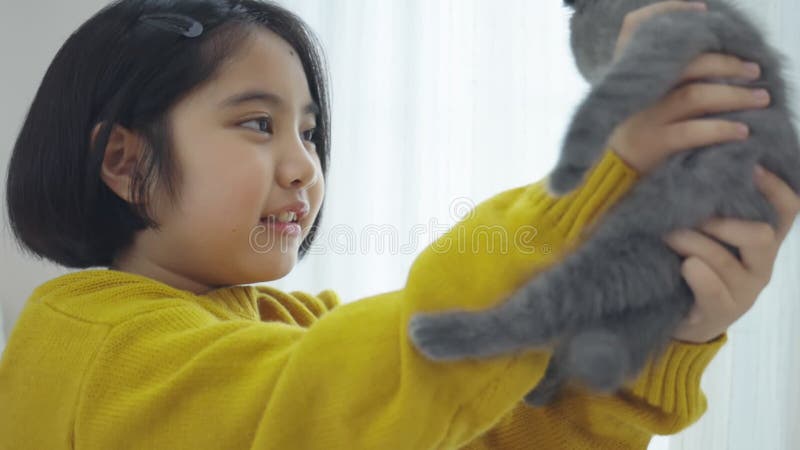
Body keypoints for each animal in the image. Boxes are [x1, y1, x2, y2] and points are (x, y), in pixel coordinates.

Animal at [410, 0, 796, 408]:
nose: (585, 70)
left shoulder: (669, 33)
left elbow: (602, 102)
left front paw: (567, 172)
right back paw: (542, 388)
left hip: (631, 242)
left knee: (543, 313)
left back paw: (443, 334)